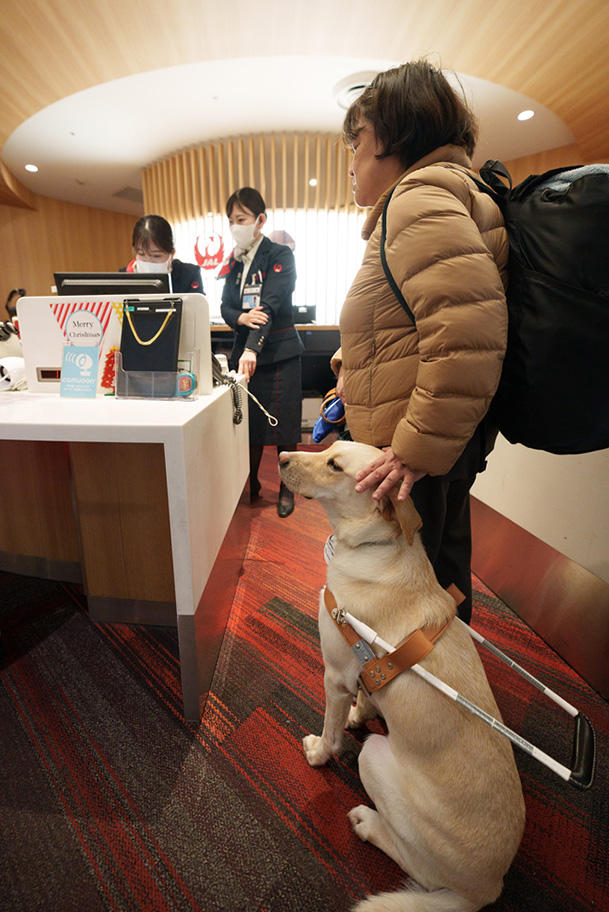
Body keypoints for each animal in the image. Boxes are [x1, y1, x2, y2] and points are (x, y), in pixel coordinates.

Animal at [278, 438, 524, 908]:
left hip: (374, 756)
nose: (280, 457)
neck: (375, 546)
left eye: (334, 465)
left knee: (415, 866)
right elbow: (366, 693)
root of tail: (490, 888)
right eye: (330, 443)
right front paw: (362, 712)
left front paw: (319, 752)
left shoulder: (335, 675)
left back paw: (367, 823)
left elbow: (332, 730)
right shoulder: (363, 667)